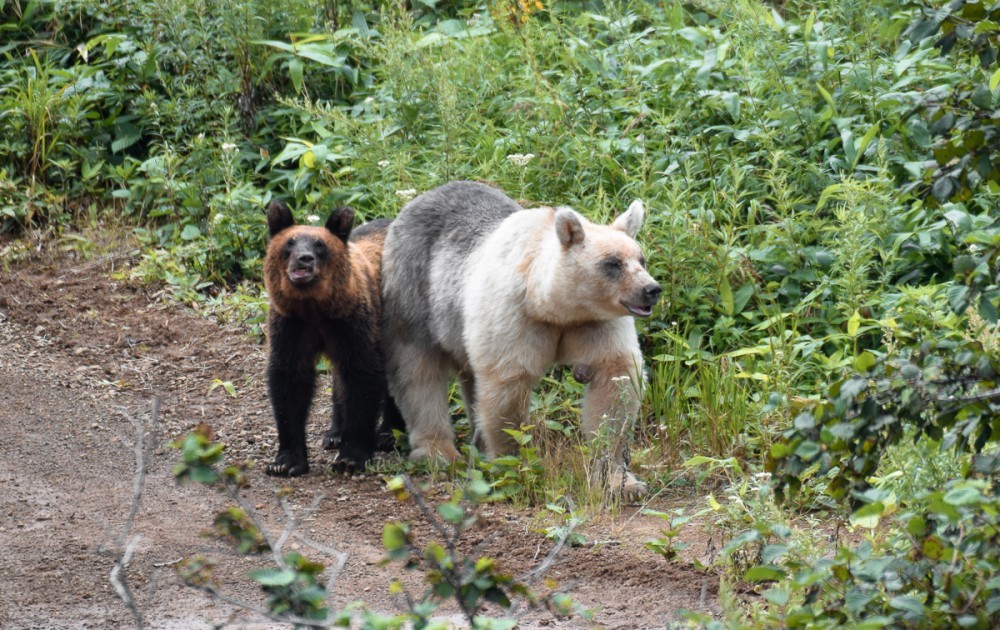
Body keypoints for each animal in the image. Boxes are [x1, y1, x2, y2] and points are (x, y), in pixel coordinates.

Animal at [262, 202, 402, 478]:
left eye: (319, 245)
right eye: (290, 243)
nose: (304, 259)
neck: (315, 308)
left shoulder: (352, 323)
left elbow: (362, 376)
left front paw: (351, 456)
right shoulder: (291, 326)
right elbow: (288, 380)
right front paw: (285, 461)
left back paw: (390, 433)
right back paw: (334, 433)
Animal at [380, 181, 656, 498]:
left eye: (641, 259)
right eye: (612, 263)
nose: (651, 289)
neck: (550, 306)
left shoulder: (594, 322)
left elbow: (615, 380)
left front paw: (622, 481)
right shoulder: (515, 315)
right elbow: (508, 382)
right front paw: (513, 465)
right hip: (413, 290)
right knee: (419, 371)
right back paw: (438, 452)